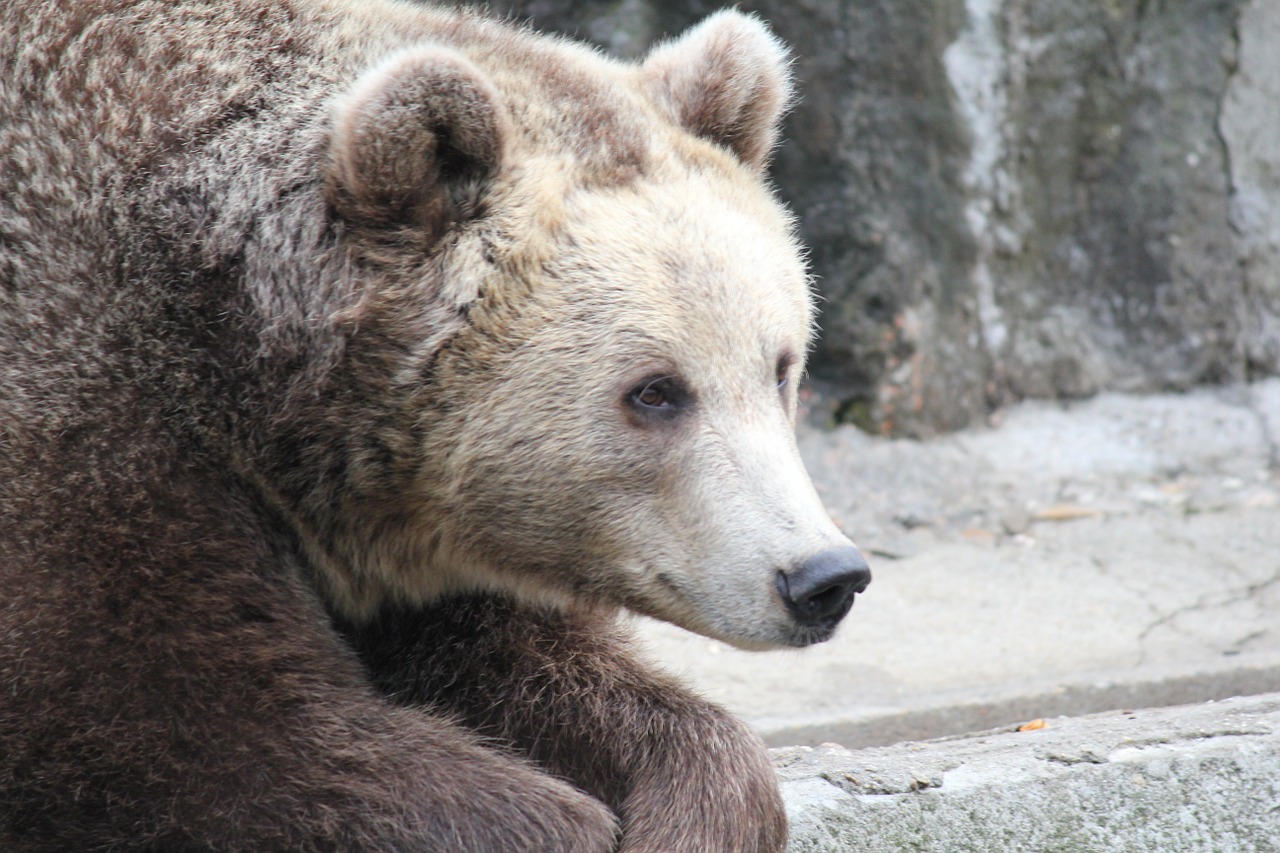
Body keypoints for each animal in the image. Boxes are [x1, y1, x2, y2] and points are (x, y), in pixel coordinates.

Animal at [0, 0, 870, 845]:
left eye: (780, 366)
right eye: (655, 390)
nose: (823, 576)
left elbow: (521, 667)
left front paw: (695, 806)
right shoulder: (86, 390)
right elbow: (166, 711)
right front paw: (555, 822)